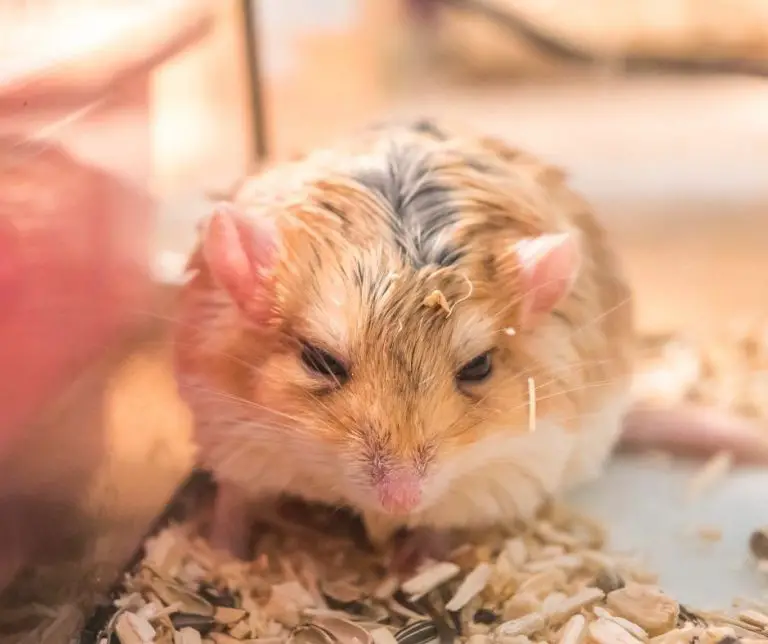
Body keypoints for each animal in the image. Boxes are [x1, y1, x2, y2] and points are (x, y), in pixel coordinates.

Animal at [172, 118, 669, 563]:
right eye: (320, 359)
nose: (401, 501)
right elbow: (234, 503)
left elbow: (440, 526)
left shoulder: (510, 464)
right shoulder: (232, 434)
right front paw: (222, 557)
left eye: (478, 366)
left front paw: (419, 562)